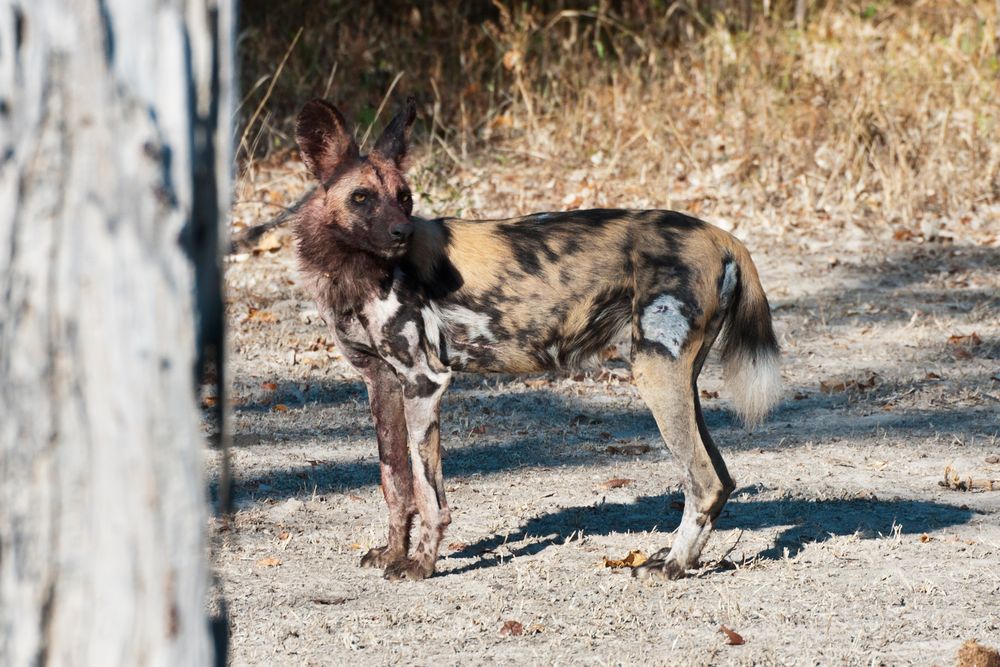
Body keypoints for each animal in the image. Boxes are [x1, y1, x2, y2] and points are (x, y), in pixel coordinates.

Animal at [292, 96, 784, 580]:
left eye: (404, 198)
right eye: (361, 198)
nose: (402, 233)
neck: (355, 270)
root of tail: (723, 237)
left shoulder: (423, 382)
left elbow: (429, 494)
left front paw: (420, 565)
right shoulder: (382, 384)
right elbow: (395, 483)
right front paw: (392, 553)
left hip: (655, 375)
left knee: (703, 480)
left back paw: (671, 566)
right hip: (679, 380)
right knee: (722, 479)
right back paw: (681, 561)